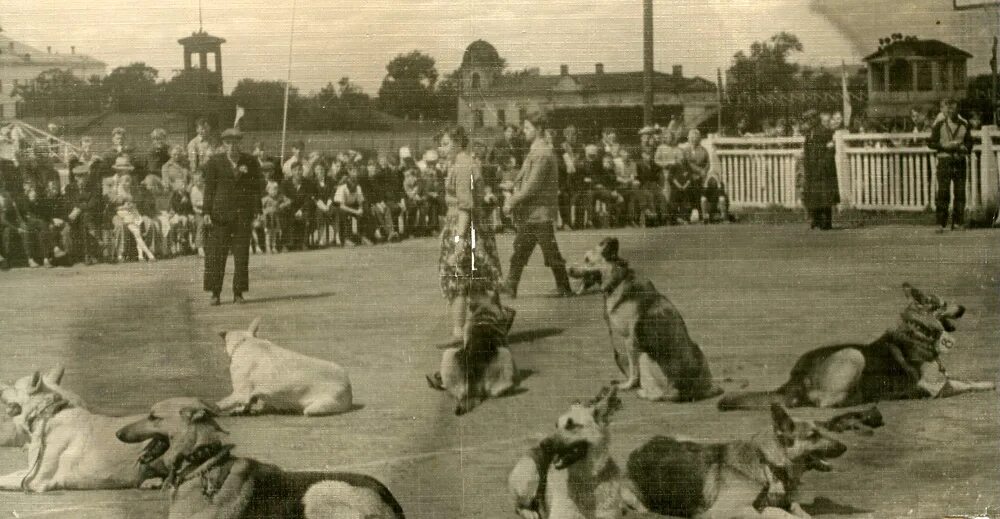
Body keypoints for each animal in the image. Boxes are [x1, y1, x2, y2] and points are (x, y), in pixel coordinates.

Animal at [217, 316, 354, 418]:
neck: (246, 341)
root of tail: (349, 388)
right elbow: (247, 403)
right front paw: (240, 410)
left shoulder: (240, 392)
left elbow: (223, 403)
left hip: (315, 407)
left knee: (308, 411)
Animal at [508, 388, 640, 519]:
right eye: (556, 426)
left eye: (571, 425)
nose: (543, 445)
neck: (586, 480)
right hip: (530, 473)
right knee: (519, 505)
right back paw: (529, 512)